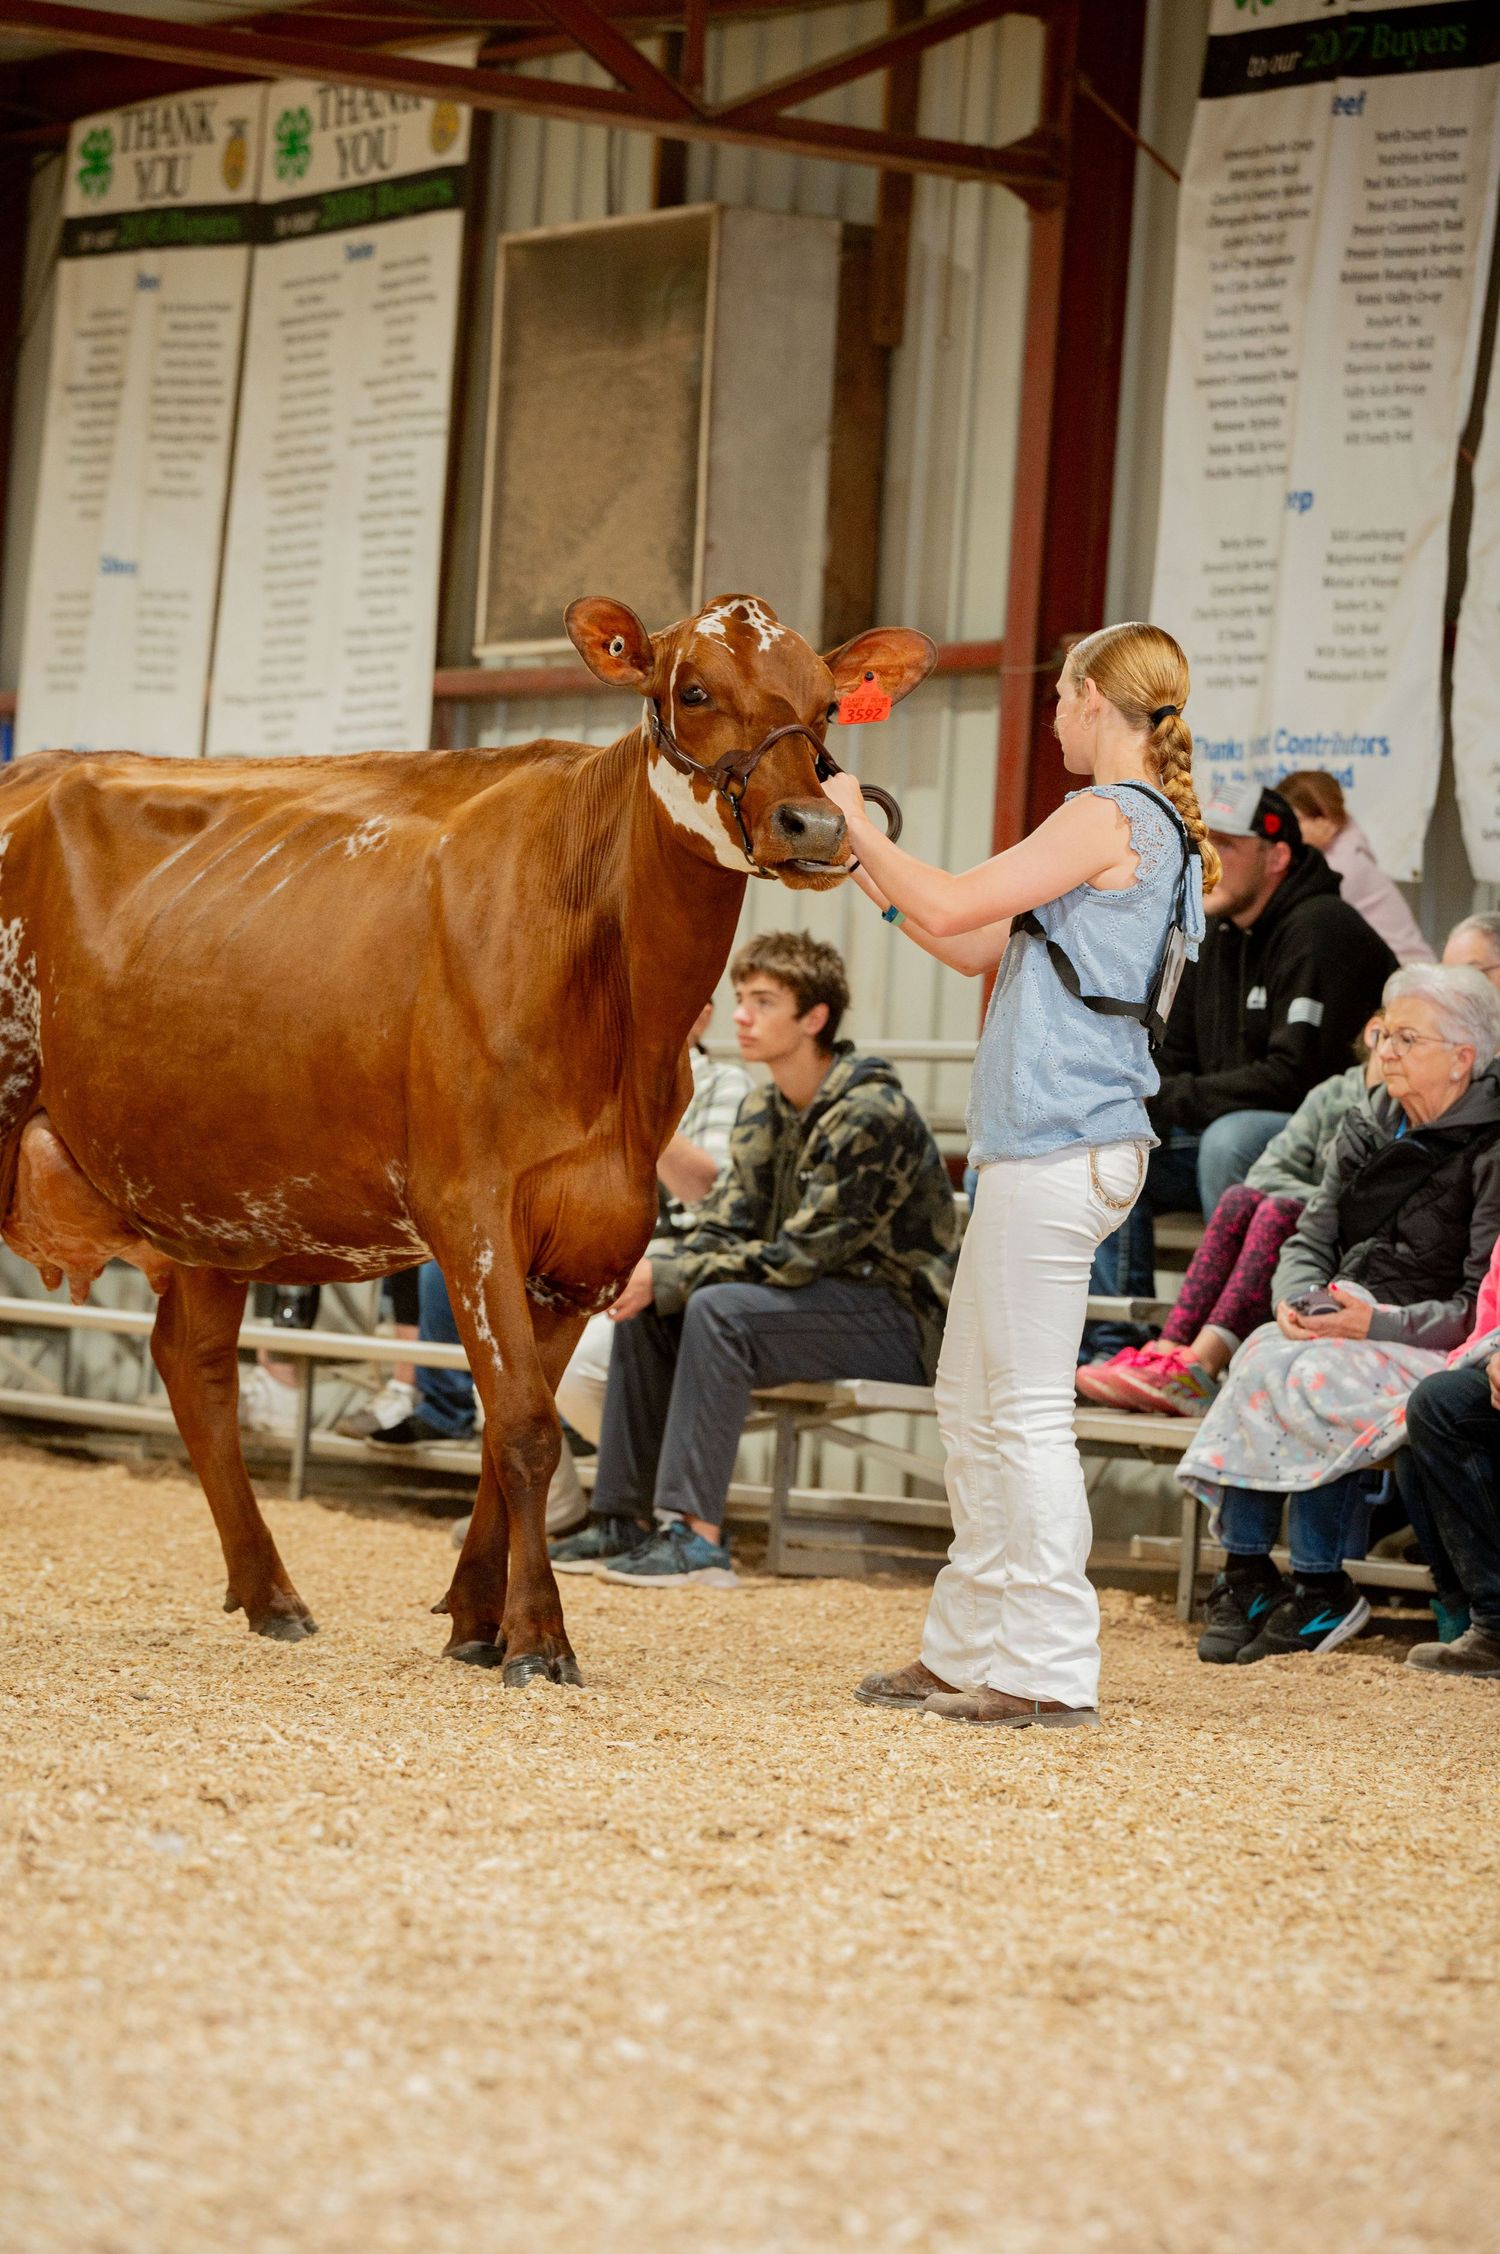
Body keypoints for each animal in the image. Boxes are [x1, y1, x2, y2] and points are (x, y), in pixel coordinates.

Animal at [0, 594, 935, 1685]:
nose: (817, 824)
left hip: (210, 1194)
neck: (621, 1011)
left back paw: (271, 1594)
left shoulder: (595, 1236)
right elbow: (526, 1426)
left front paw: (478, 1621)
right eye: (695, 689)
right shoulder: (470, 1205)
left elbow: (506, 1433)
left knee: (195, 1365)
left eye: (827, 702)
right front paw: (538, 1638)